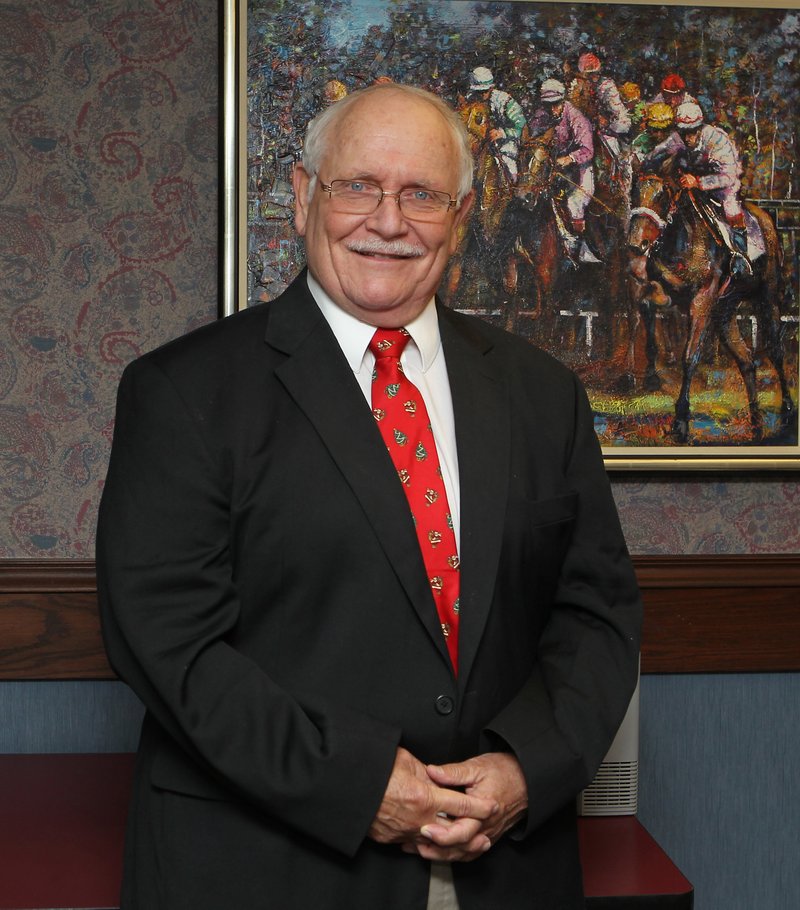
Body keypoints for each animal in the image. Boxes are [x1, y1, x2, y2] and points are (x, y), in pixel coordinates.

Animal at [632, 170, 792, 446]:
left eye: (662, 195)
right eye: (634, 191)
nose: (636, 243)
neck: (683, 239)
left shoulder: (702, 301)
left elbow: (690, 356)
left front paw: (681, 421)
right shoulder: (662, 292)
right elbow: (648, 312)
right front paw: (652, 376)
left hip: (767, 297)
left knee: (776, 350)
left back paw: (786, 412)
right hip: (725, 310)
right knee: (745, 358)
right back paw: (756, 423)